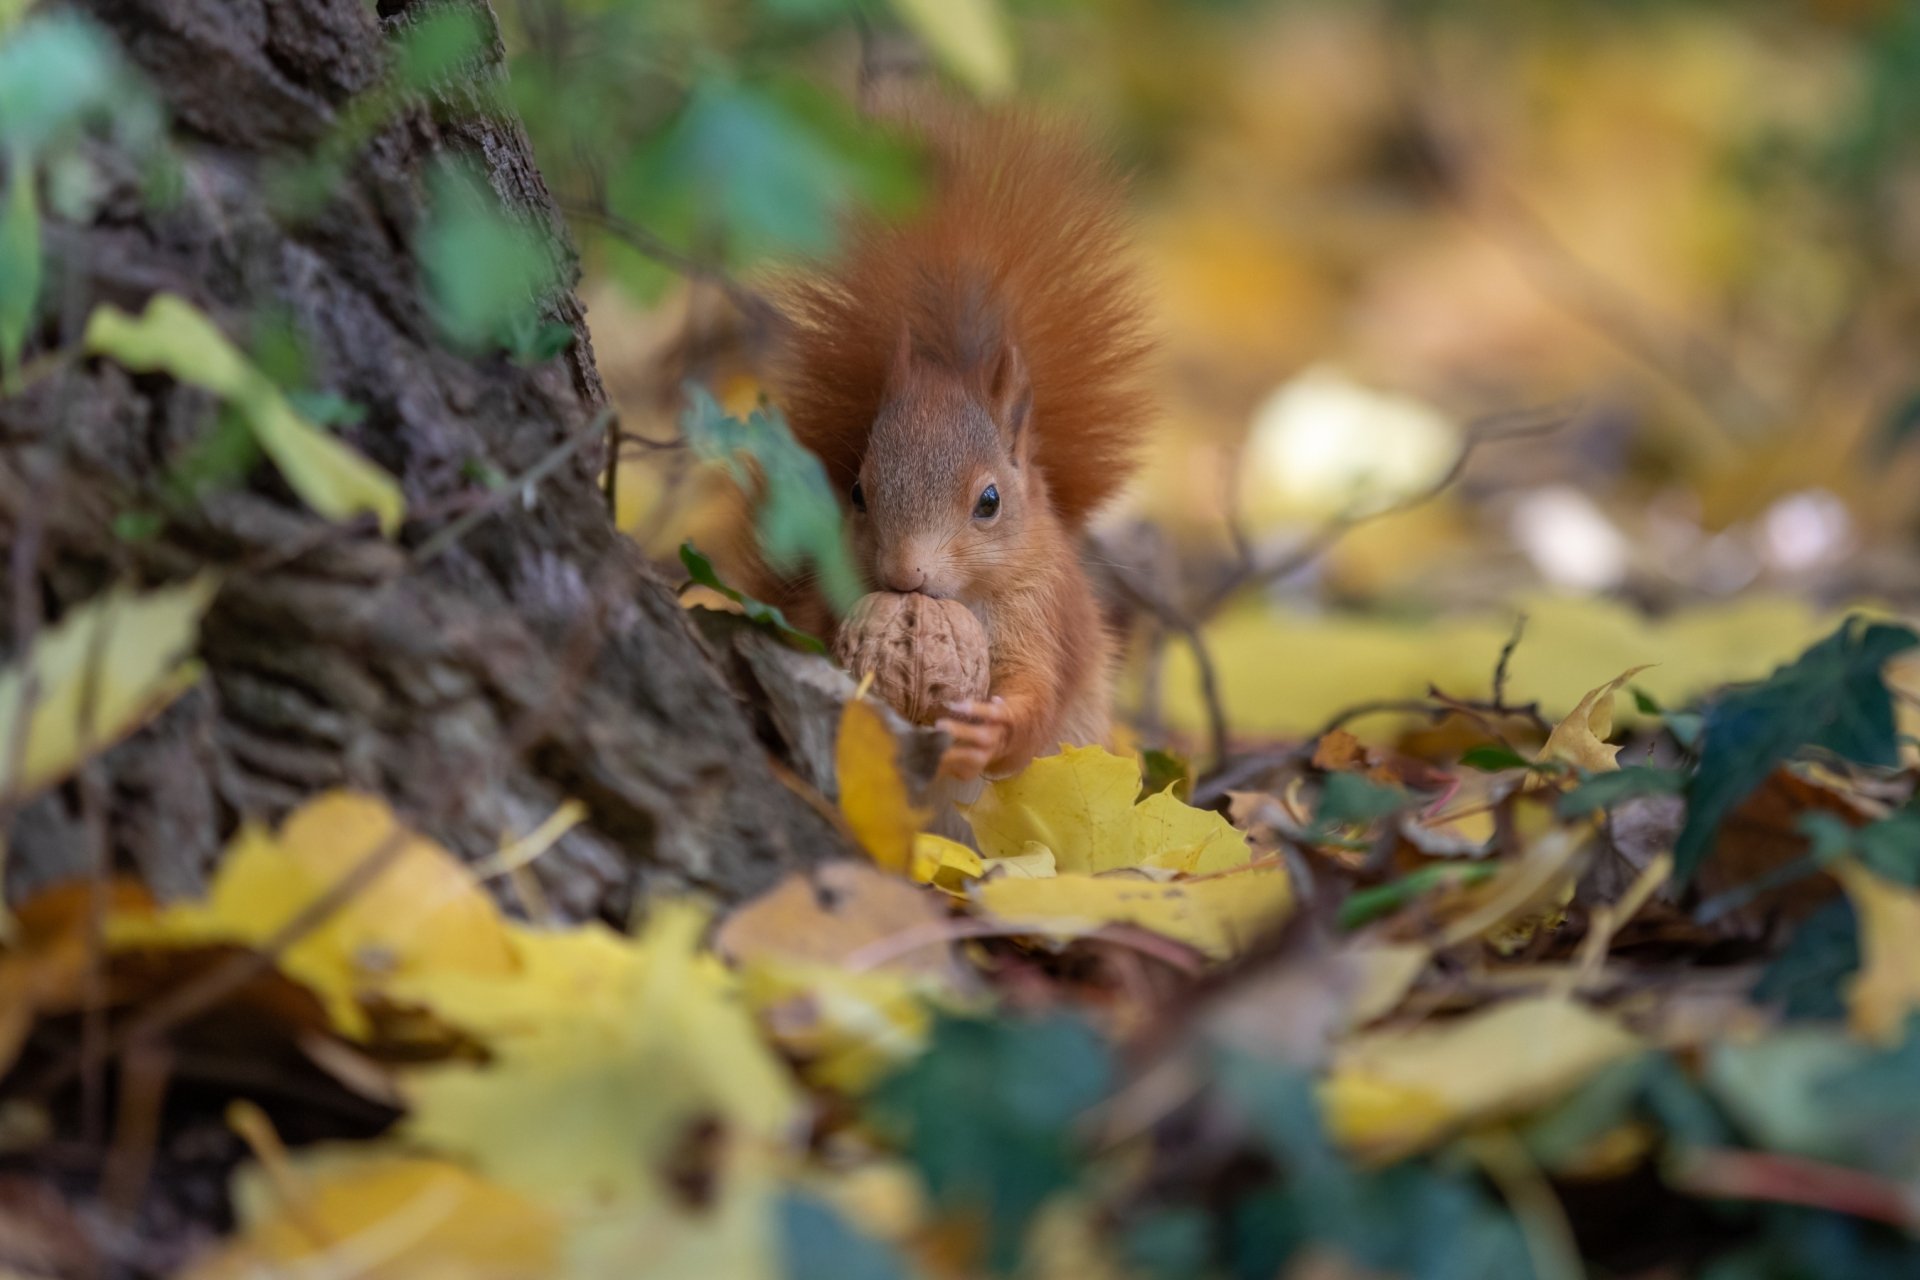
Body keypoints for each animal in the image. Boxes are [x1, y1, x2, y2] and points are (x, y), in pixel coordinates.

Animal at [742, 106, 1153, 782]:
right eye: (856, 493)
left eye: (990, 502)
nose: (904, 575)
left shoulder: (1041, 611)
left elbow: (1037, 693)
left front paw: (991, 731)